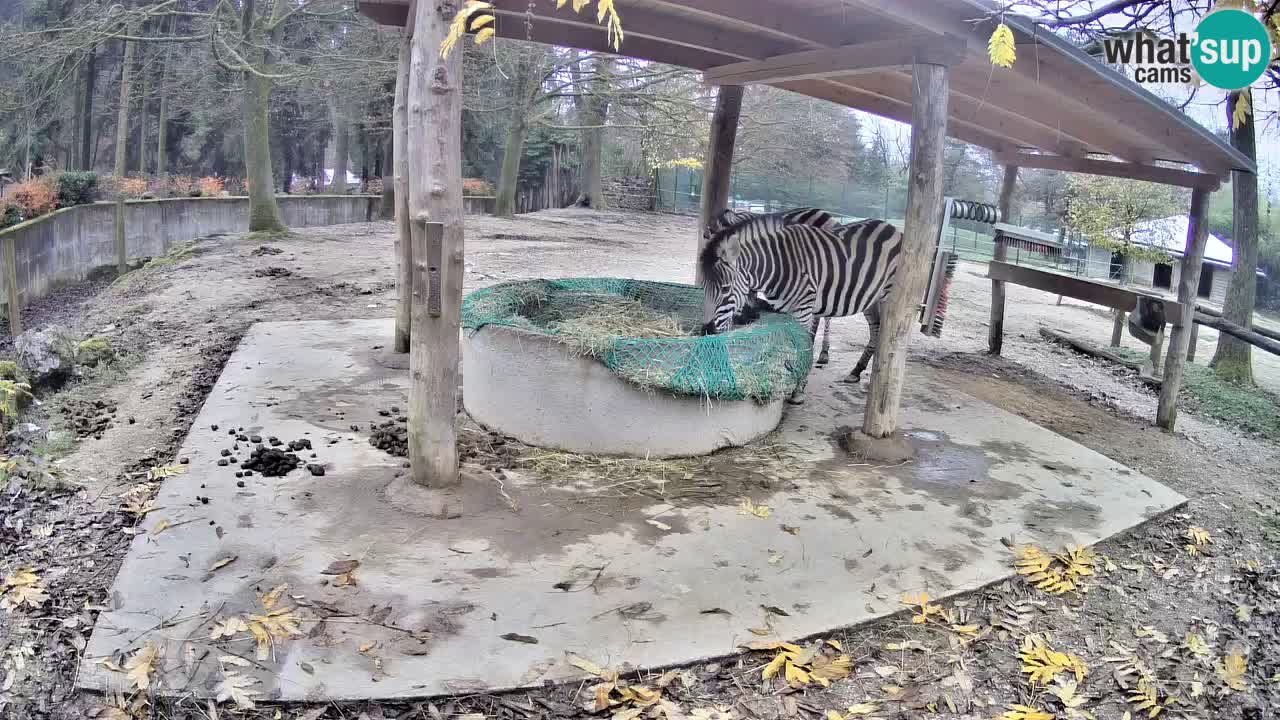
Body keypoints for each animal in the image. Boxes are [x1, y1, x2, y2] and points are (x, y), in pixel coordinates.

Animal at [699, 214, 901, 402]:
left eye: (725, 289)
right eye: (703, 287)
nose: (706, 332)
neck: (779, 266)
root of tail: (892, 228)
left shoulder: (804, 308)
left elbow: (804, 346)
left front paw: (798, 390)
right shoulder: (788, 311)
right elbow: (794, 345)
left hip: (888, 297)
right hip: (870, 299)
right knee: (876, 330)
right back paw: (857, 371)